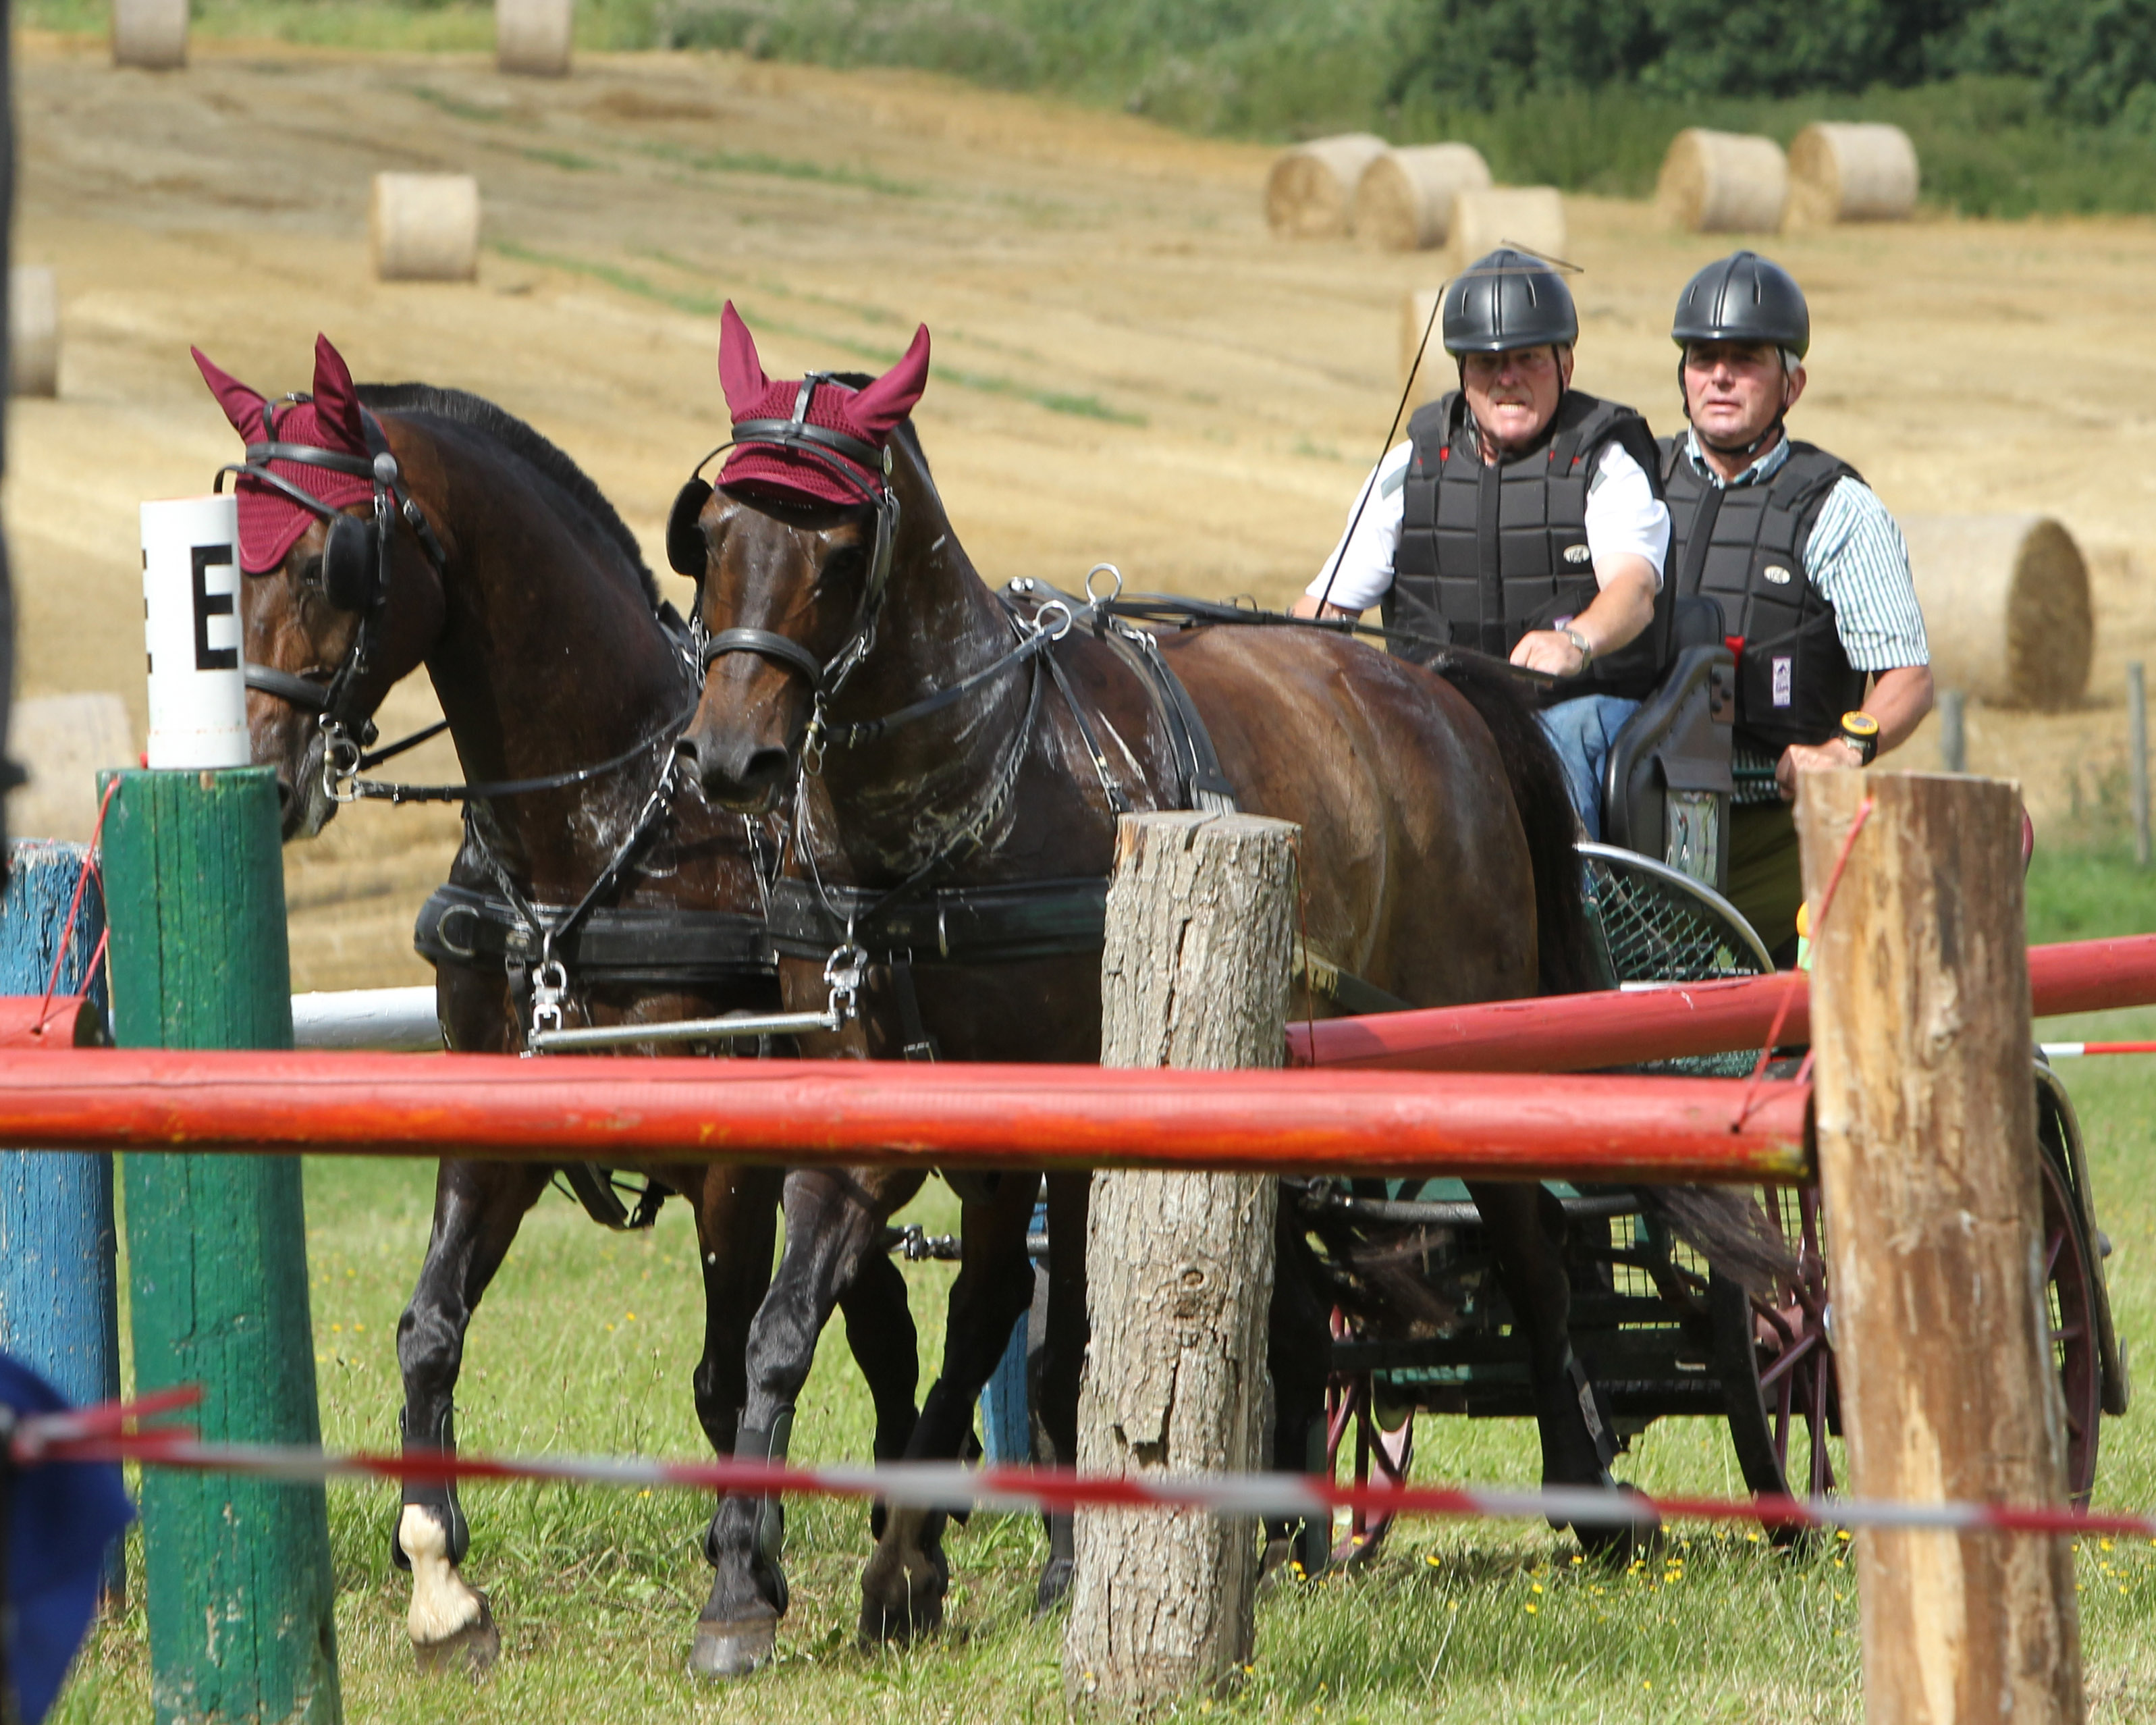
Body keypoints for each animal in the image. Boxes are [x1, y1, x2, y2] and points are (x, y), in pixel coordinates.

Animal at [203, 334, 936, 1673]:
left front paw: (740, 1579)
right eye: (224, 559)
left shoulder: (733, 1158)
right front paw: (441, 1579)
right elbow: (429, 1325)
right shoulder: (496, 1113)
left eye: (337, 557)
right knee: (886, 1322)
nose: (269, 778)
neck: (606, 826)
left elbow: (722, 1370)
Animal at [664, 306, 1621, 1673]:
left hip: (1471, 1044)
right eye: (712, 535)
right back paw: (1277, 1531)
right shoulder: (866, 1123)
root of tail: (1433, 683)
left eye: (841, 545)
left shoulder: (1057, 1120)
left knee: (1534, 1254)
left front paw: (951, 1557)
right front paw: (753, 1582)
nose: (730, 756)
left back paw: (1587, 1491)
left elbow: (1027, 1321)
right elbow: (789, 1331)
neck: (959, 807)